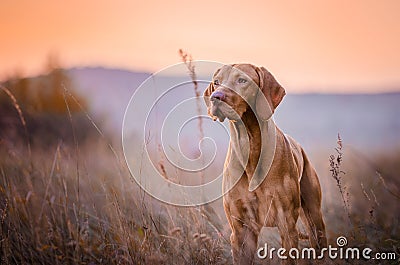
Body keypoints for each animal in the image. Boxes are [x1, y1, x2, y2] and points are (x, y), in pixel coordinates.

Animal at [203, 63, 328, 262]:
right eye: (216, 82)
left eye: (242, 80)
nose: (216, 97)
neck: (250, 147)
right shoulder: (240, 231)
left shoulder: (287, 225)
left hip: (314, 219)